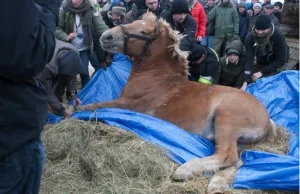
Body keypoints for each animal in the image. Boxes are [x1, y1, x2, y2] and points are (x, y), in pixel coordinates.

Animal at [75, 12, 276, 194]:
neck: (157, 78)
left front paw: (72, 108)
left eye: (143, 31)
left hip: (226, 120)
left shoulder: (127, 105)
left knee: (227, 155)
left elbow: (93, 106)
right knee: (237, 162)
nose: (106, 36)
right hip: (238, 141)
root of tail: (267, 121)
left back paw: (185, 170)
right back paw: (215, 184)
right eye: (133, 21)